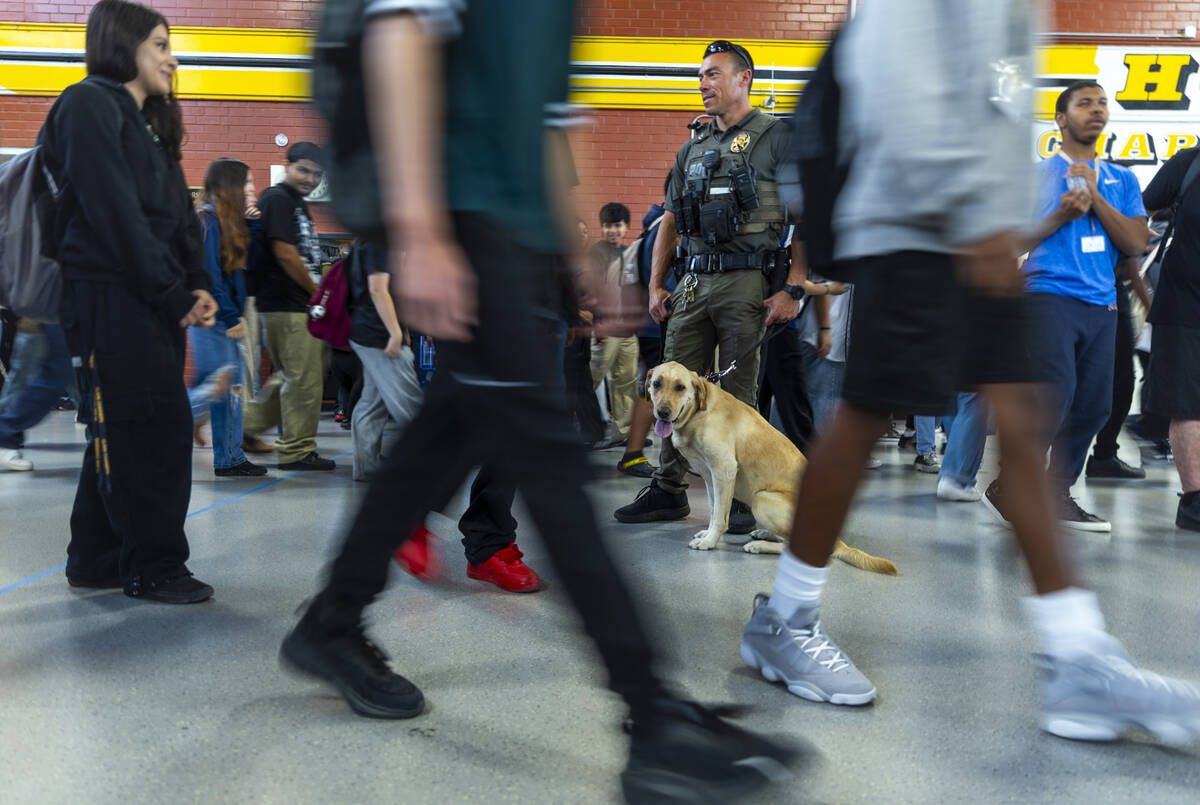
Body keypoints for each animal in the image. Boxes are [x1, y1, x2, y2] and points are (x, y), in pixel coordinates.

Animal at [652, 362, 897, 575]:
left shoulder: (724, 471)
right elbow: (714, 509)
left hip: (761, 498)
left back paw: (759, 546)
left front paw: (710, 541)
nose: (662, 412)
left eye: (680, 387)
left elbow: (721, 517)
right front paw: (708, 533)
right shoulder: (709, 476)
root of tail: (834, 540)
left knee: (790, 545)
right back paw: (763, 533)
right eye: (656, 383)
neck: (698, 413)